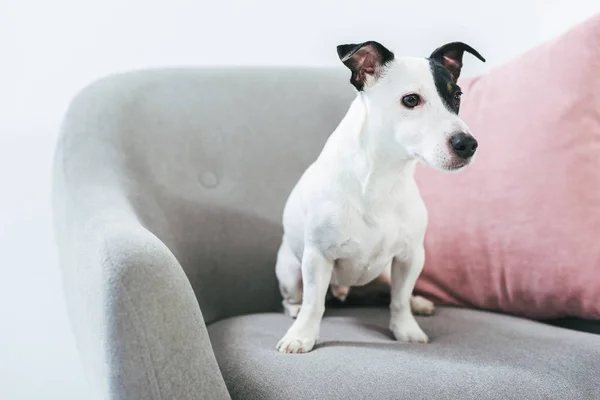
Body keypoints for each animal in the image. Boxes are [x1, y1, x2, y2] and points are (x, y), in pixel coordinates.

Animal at [274, 40, 486, 354]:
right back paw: (294, 309)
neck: (383, 177)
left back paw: (417, 302)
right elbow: (315, 304)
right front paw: (301, 335)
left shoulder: (410, 256)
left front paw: (406, 329)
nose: (468, 144)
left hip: (386, 271)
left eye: (457, 95)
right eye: (410, 100)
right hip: (290, 271)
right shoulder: (317, 258)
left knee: (394, 292)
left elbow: (399, 300)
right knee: (295, 298)